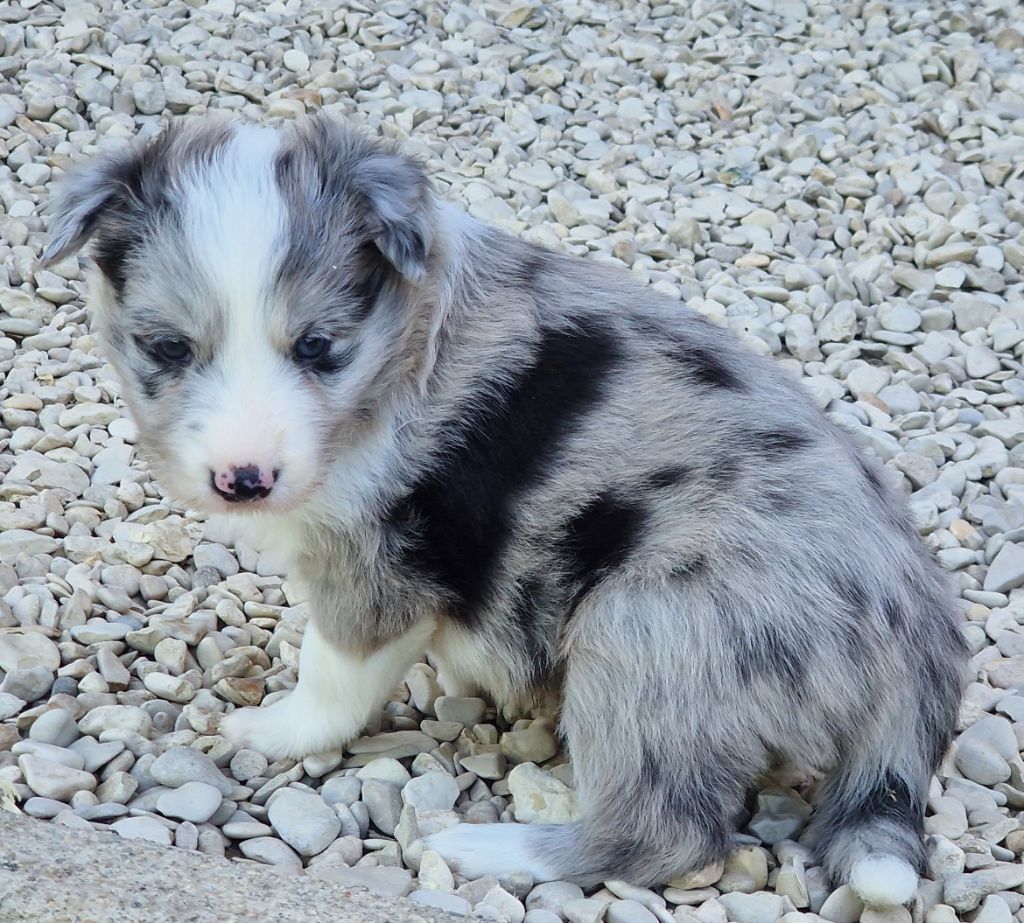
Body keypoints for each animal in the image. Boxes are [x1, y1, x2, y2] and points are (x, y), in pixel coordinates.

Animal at [41, 117, 966, 905]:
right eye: (167, 348)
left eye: (318, 346)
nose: (244, 479)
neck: (391, 359)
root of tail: (918, 645)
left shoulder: (382, 556)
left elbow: (333, 669)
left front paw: (275, 730)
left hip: (655, 634)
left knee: (667, 829)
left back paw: (488, 847)